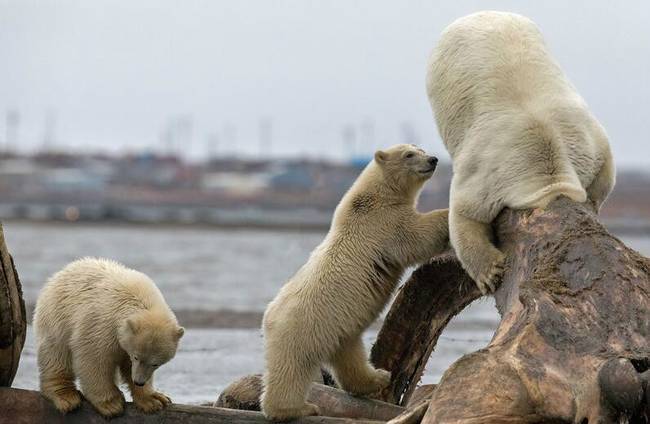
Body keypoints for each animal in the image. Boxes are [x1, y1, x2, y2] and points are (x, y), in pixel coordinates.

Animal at [33, 257, 184, 418]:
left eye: (156, 364)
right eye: (136, 357)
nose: (139, 381)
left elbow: (127, 365)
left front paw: (154, 399)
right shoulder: (101, 325)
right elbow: (94, 360)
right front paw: (111, 404)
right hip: (58, 317)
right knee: (56, 354)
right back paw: (66, 396)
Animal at [261, 144, 449, 421]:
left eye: (421, 149)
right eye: (409, 154)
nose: (433, 159)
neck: (372, 196)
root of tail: (269, 316)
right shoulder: (384, 222)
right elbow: (415, 235)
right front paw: (449, 214)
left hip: (340, 330)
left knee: (349, 358)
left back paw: (379, 377)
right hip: (303, 327)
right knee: (293, 367)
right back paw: (295, 408)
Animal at [426, 11, 615, 294]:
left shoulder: (584, 139)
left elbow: (605, 167)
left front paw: (592, 203)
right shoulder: (489, 171)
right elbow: (465, 212)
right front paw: (490, 273)